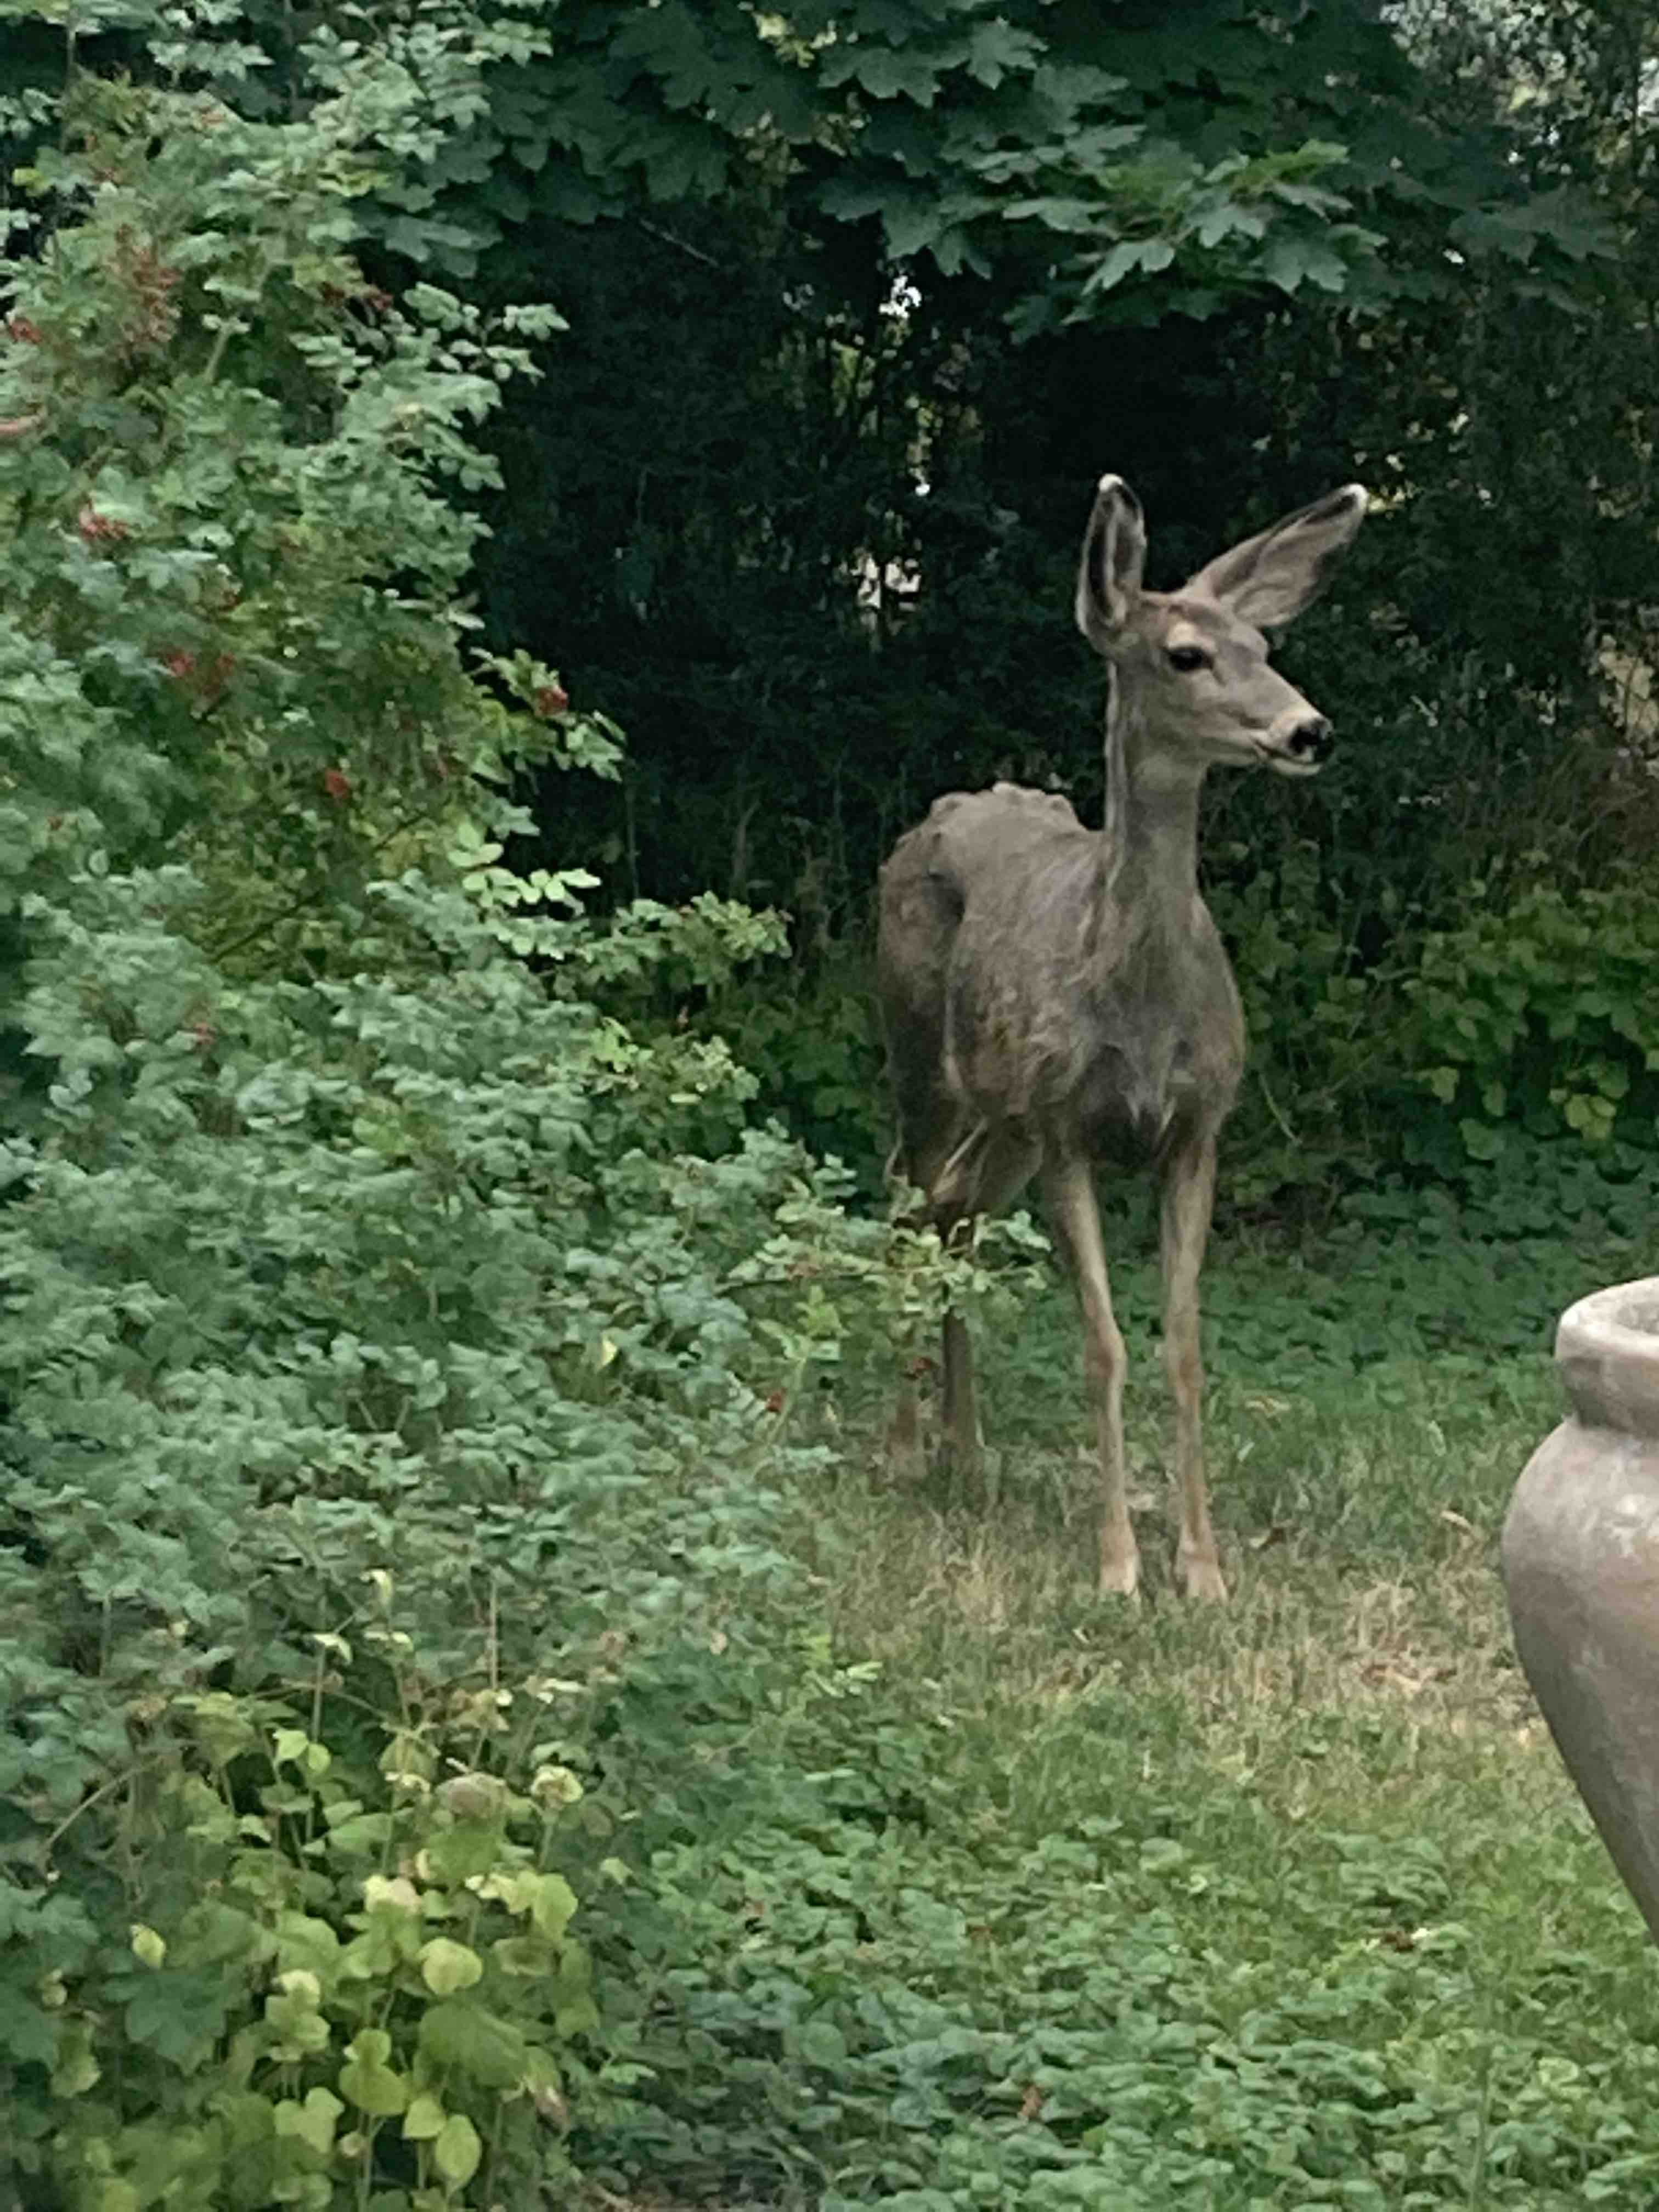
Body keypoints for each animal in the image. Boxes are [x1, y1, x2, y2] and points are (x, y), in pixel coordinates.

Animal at [876, 475, 1371, 1601]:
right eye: (1184, 654)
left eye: (1262, 642)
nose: (1309, 730)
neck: (1139, 1003)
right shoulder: (1068, 1129)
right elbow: (1102, 1341)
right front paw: (1115, 1567)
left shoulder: (1197, 1129)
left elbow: (1181, 1343)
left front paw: (1203, 1567)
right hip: (920, 1058)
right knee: (904, 1201)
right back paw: (901, 1446)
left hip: (1002, 1118)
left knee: (956, 1216)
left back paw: (966, 1450)